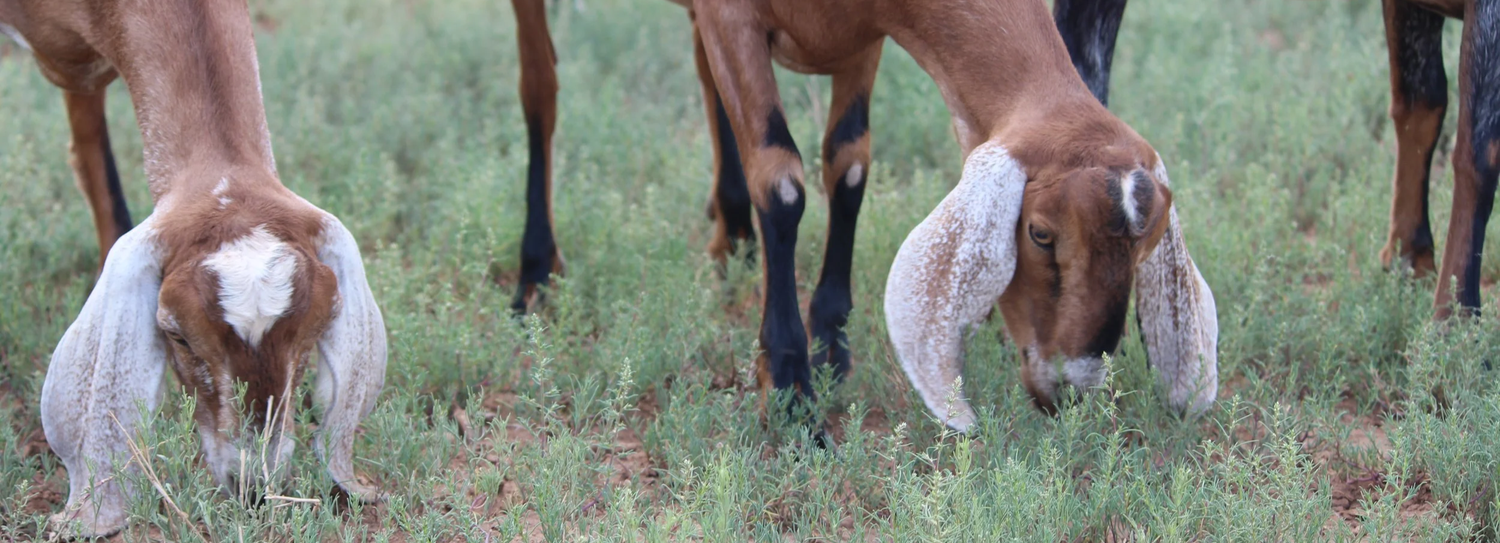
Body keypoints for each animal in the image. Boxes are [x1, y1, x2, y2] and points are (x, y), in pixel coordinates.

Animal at [509, 0, 1217, 431]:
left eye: (1146, 250)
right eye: (1040, 233)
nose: (1073, 388)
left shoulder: (863, 35)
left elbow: (847, 165)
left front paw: (832, 341)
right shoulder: (734, 18)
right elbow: (783, 183)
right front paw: (791, 392)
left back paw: (732, 233)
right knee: (540, 89)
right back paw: (535, 274)